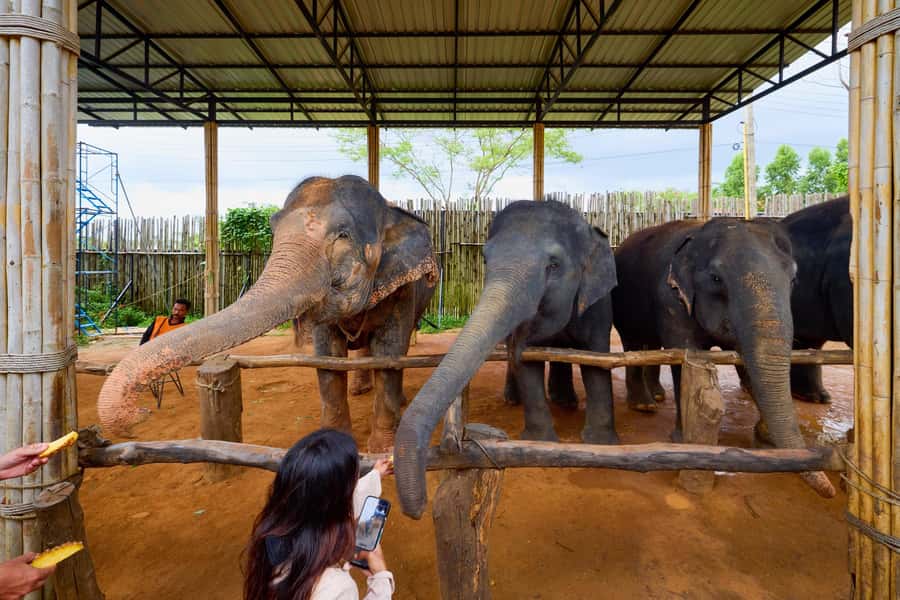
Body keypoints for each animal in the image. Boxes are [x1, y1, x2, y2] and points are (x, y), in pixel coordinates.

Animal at [97, 175, 438, 452]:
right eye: (274, 230)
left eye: (343, 235)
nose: (138, 415)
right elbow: (327, 360)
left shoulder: (404, 289)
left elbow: (390, 355)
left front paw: (382, 451)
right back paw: (359, 390)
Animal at [394, 200, 617, 517]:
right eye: (485, 260)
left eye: (554, 265)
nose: (420, 506)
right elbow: (526, 360)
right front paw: (540, 441)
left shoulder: (598, 304)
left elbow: (596, 360)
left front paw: (600, 443)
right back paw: (519, 399)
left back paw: (565, 402)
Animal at [610, 217, 834, 498]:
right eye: (716, 279)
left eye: (793, 279)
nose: (830, 490)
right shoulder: (670, 298)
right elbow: (685, 356)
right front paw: (683, 441)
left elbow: (747, 366)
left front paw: (766, 440)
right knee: (633, 344)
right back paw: (644, 405)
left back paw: (656, 398)